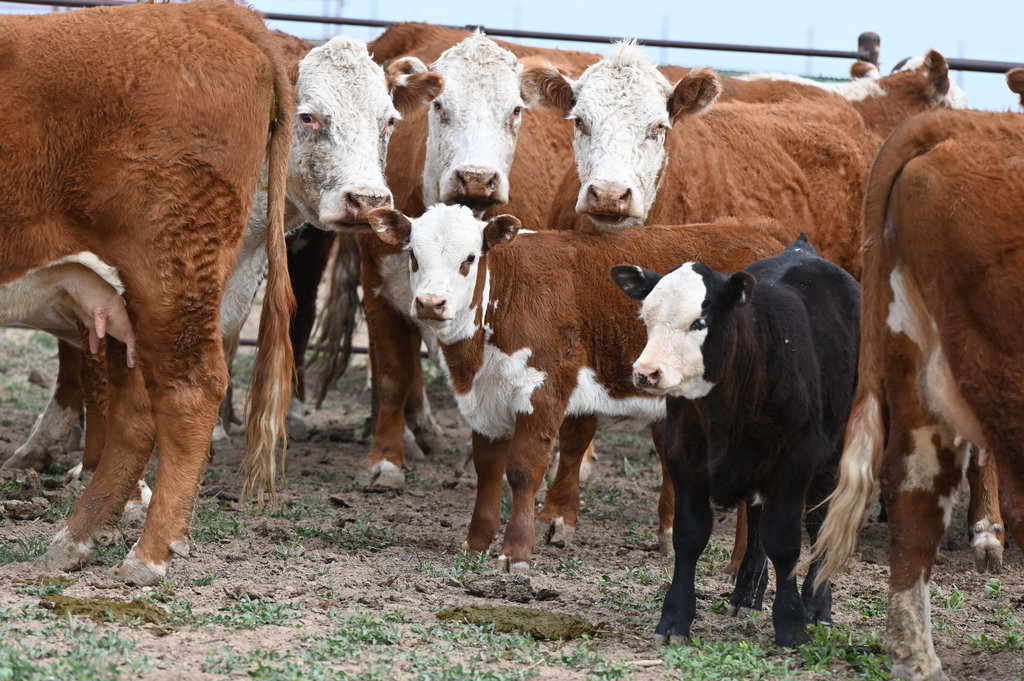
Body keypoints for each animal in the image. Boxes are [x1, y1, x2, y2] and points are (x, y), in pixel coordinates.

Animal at [0, 0, 295, 584]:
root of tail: (220, 14)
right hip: (122, 301)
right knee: (134, 405)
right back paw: (77, 539)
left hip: (169, 270)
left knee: (189, 387)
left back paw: (148, 554)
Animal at [367, 203, 786, 570]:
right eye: (413, 256)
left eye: (469, 259)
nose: (430, 303)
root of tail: (762, 233)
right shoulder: (485, 401)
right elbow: (487, 469)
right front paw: (477, 543)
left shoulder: (541, 391)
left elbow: (523, 470)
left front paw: (516, 553)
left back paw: (738, 565)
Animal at [612, 235, 860, 648]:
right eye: (646, 319)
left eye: (699, 322)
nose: (646, 372)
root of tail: (802, 249)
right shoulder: (683, 458)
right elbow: (690, 536)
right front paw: (674, 618)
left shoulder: (795, 461)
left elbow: (785, 540)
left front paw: (792, 622)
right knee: (758, 518)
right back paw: (746, 594)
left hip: (833, 452)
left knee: (819, 521)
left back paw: (817, 605)